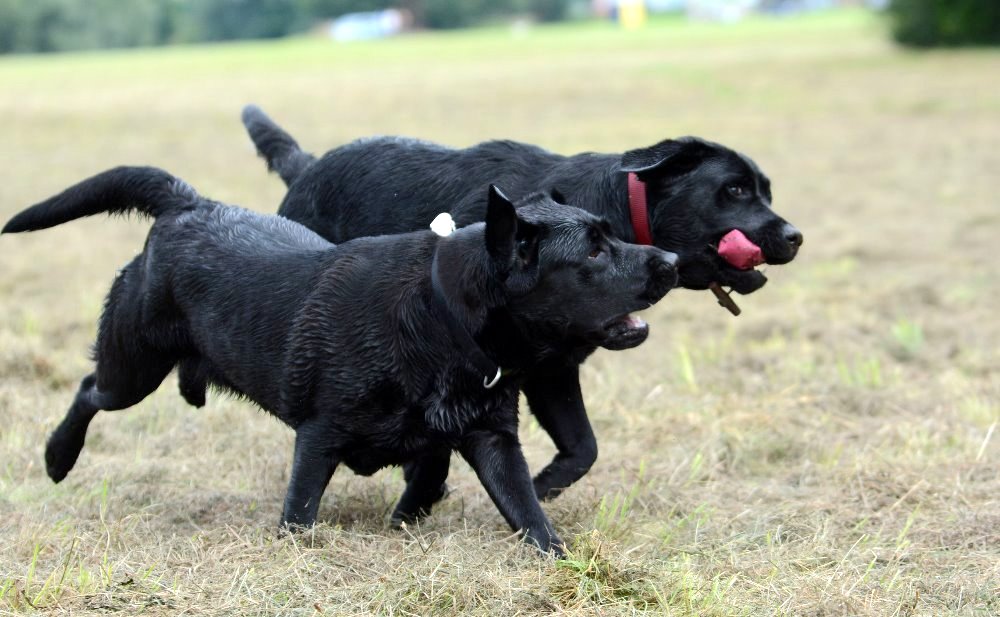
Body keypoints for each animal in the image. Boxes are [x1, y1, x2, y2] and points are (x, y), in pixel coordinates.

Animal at [3, 166, 676, 556]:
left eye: (610, 233)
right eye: (594, 252)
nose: (669, 260)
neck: (442, 320)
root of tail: (187, 204)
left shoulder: (491, 440)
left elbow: (528, 515)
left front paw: (562, 561)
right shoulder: (319, 437)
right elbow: (299, 515)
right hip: (132, 368)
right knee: (88, 389)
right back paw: (57, 458)